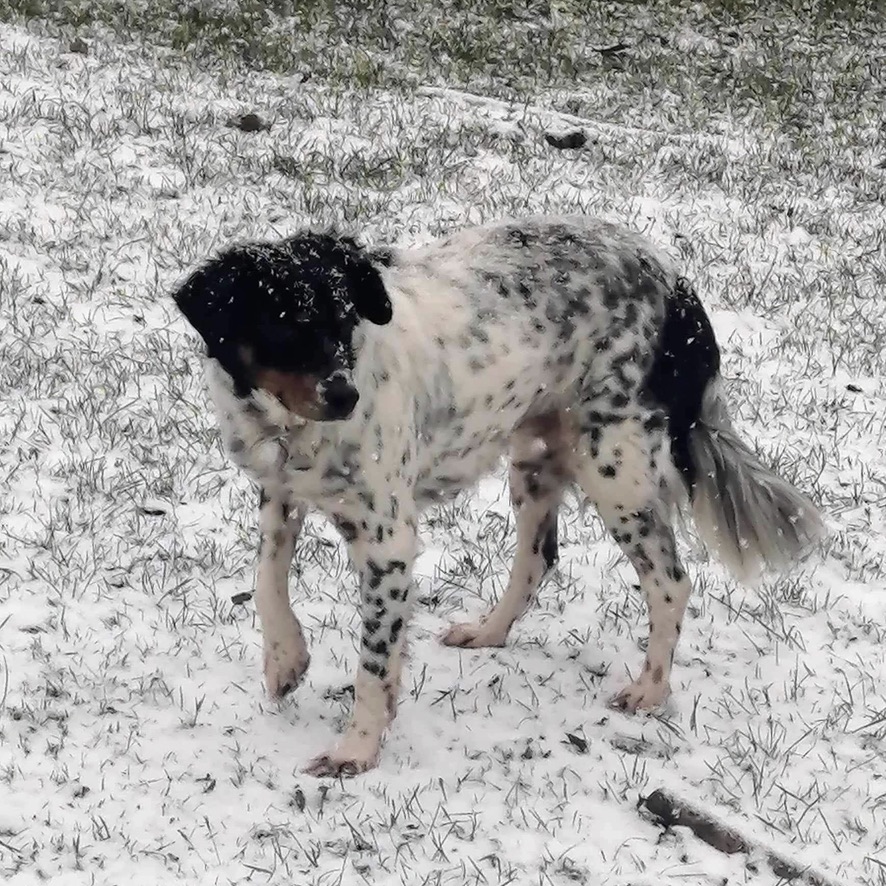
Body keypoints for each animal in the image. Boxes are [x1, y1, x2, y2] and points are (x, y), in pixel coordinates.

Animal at [172, 215, 824, 776]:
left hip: (614, 464)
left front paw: (356, 750)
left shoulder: (388, 538)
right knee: (538, 559)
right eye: (282, 325)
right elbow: (266, 581)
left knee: (670, 581)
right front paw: (285, 661)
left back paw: (650, 689)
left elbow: (375, 662)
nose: (343, 396)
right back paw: (489, 632)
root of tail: (672, 276)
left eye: (344, 321)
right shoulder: (279, 494)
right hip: (536, 460)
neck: (286, 430)